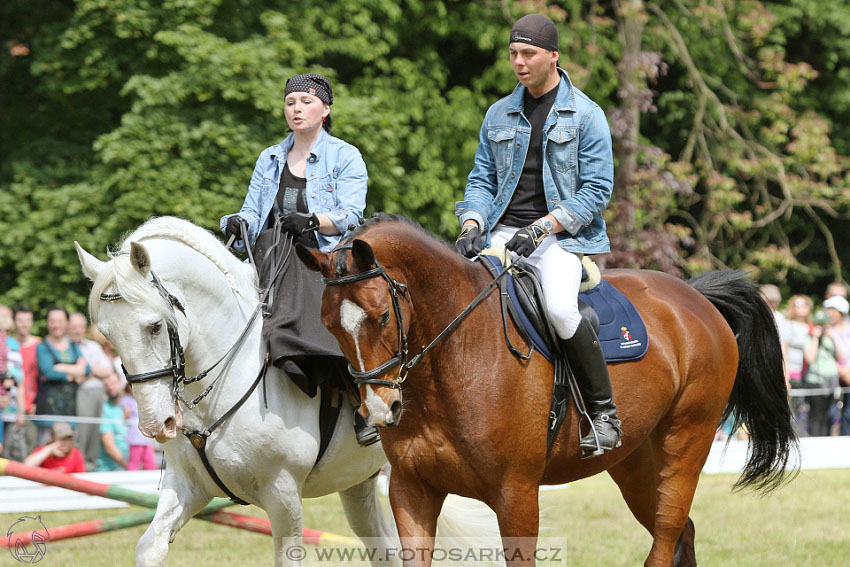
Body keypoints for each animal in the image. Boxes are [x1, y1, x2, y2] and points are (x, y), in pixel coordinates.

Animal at [298, 215, 796, 567]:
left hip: (686, 443)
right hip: (636, 462)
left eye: (382, 316)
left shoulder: (516, 494)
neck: (456, 356)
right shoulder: (410, 491)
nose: (381, 410)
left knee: (667, 537)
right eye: (327, 325)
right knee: (679, 534)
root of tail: (694, 297)